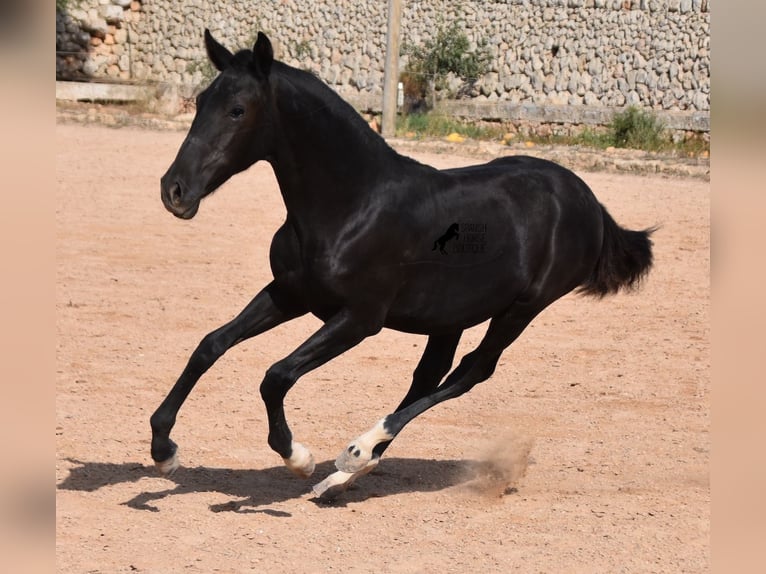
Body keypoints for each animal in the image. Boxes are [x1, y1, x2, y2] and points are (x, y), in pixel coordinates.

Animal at [153, 30, 656, 500]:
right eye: (201, 101)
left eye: (237, 110)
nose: (175, 191)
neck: (353, 204)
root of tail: (588, 200)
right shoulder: (290, 293)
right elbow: (210, 346)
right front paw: (163, 449)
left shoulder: (360, 318)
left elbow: (276, 376)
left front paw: (299, 457)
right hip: (452, 314)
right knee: (430, 375)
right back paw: (347, 473)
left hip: (521, 309)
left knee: (471, 372)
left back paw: (355, 452)